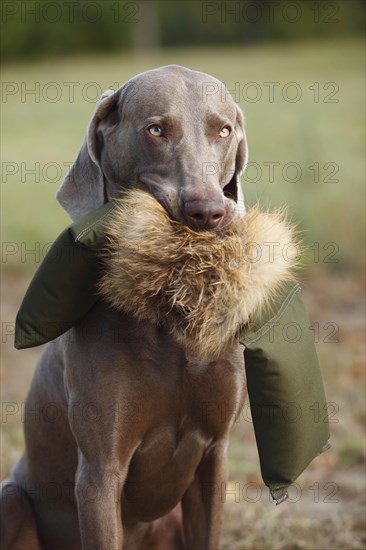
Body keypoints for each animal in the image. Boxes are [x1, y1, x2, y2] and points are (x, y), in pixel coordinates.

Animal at [1, 66, 247, 550]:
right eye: (155, 129)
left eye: (224, 130)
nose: (208, 212)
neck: (169, 321)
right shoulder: (99, 472)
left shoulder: (215, 454)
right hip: (11, 498)